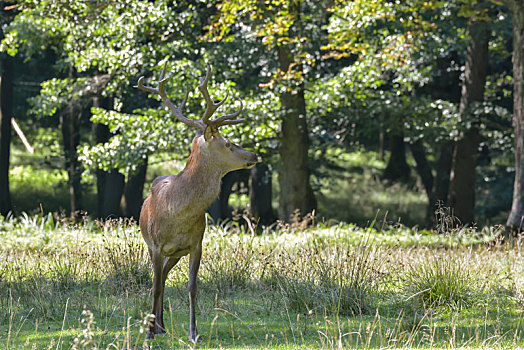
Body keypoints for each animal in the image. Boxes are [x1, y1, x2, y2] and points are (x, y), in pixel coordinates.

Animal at [134, 58, 258, 340]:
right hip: (154, 245)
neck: (178, 213)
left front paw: (193, 332)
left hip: (175, 253)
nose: (254, 155)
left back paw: (162, 325)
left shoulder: (196, 243)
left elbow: (192, 287)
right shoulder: (156, 244)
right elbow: (154, 286)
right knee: (159, 280)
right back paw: (155, 327)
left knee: (165, 276)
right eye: (229, 143)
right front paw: (147, 334)